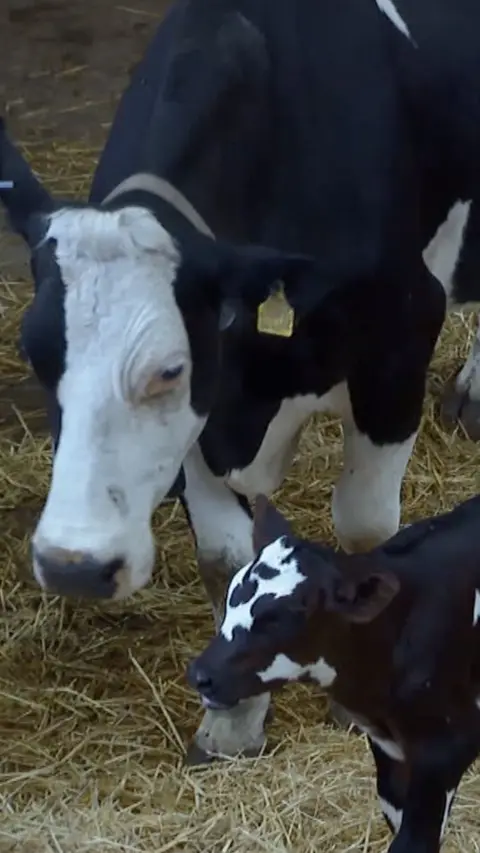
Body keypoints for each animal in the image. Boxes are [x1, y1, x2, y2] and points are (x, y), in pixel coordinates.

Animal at [1, 0, 480, 765]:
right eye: (36, 353)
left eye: (170, 367)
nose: (73, 564)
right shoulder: (213, 408)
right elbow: (226, 553)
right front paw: (233, 721)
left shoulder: (401, 336)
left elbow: (365, 524)